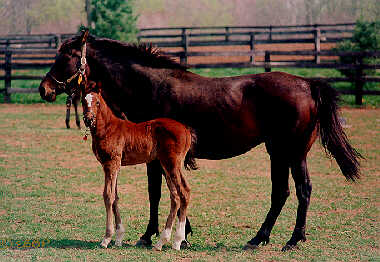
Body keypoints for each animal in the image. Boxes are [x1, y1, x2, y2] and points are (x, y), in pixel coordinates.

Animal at [80, 81, 196, 250]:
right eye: (83, 101)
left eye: (97, 102)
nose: (88, 119)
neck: (108, 128)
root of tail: (186, 130)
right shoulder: (114, 165)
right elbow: (115, 197)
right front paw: (119, 238)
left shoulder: (111, 163)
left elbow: (108, 196)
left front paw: (106, 238)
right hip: (165, 164)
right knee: (175, 196)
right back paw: (161, 242)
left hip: (172, 163)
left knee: (184, 192)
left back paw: (177, 241)